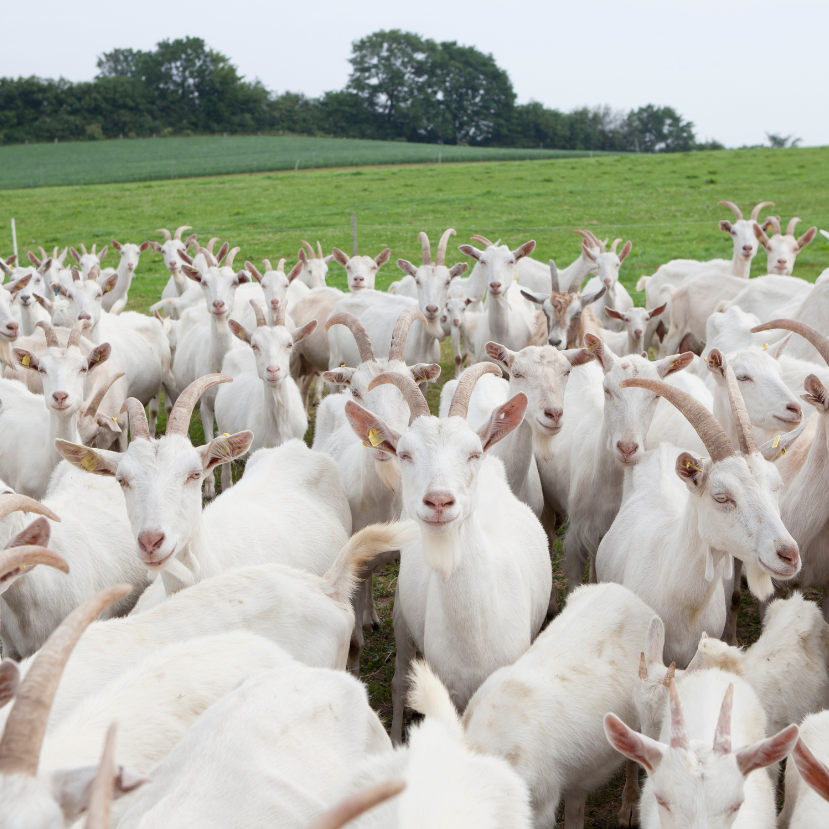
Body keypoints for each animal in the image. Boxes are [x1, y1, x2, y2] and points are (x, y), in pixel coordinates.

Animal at [346, 366, 552, 740]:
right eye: (405, 454)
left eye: (473, 453)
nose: (439, 501)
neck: (474, 635)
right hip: (402, 614)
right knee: (400, 682)